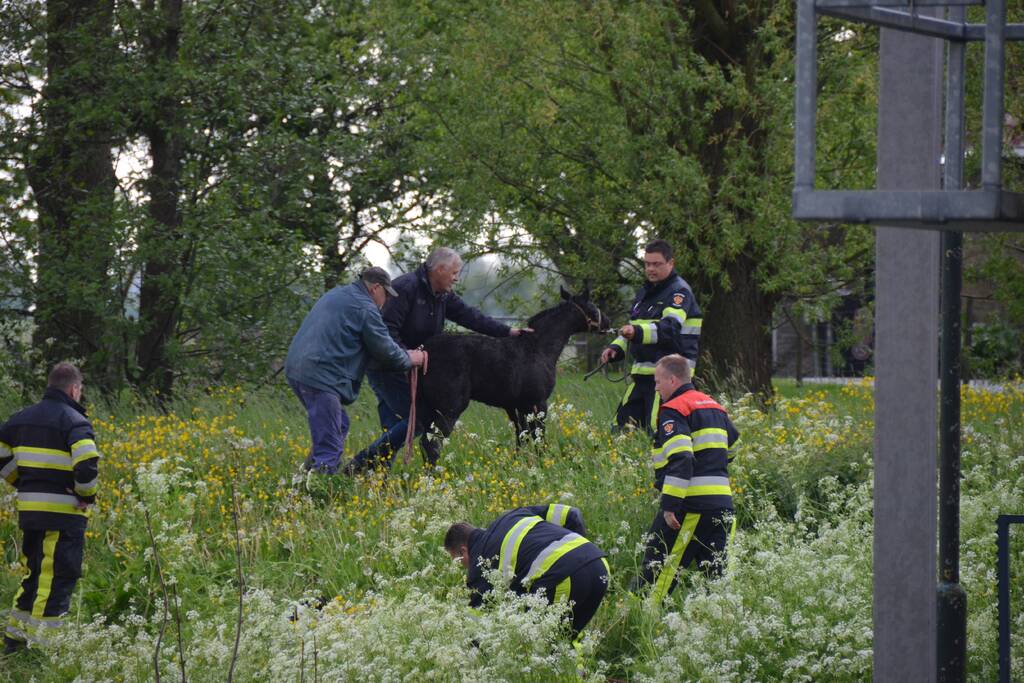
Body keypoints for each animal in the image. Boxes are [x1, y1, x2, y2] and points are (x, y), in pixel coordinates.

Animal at [415, 284, 606, 458]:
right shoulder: (538, 404)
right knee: (432, 444)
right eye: (592, 307)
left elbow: (522, 438)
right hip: (449, 408)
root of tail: (425, 351)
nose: (607, 322)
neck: (539, 347)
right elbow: (539, 439)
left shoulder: (519, 407)